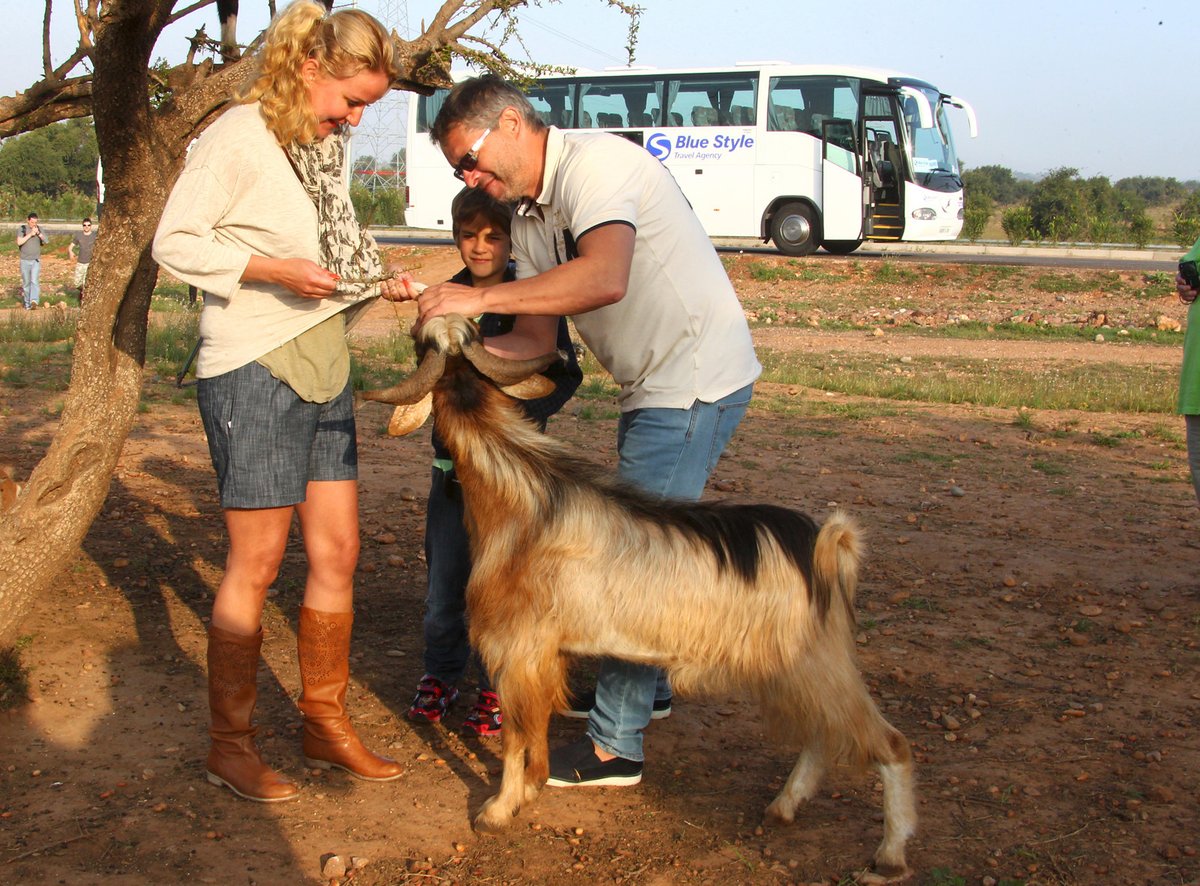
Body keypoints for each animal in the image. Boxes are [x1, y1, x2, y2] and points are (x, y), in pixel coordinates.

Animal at [360, 316, 912, 878]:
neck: (518, 486)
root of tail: (827, 546)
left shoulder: (517, 653)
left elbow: (517, 738)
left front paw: (499, 809)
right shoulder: (544, 656)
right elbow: (534, 733)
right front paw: (527, 792)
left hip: (817, 666)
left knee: (891, 744)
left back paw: (890, 853)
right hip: (788, 670)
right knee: (823, 736)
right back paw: (785, 805)